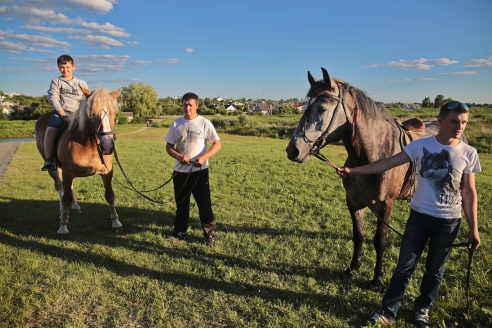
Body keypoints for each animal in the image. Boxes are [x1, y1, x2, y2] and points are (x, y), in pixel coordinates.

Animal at [284, 68, 438, 288]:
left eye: (322, 109)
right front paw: (352, 269)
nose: (293, 150)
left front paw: (377, 278)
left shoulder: (385, 205)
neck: (374, 154)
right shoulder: (354, 202)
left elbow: (380, 240)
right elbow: (359, 236)